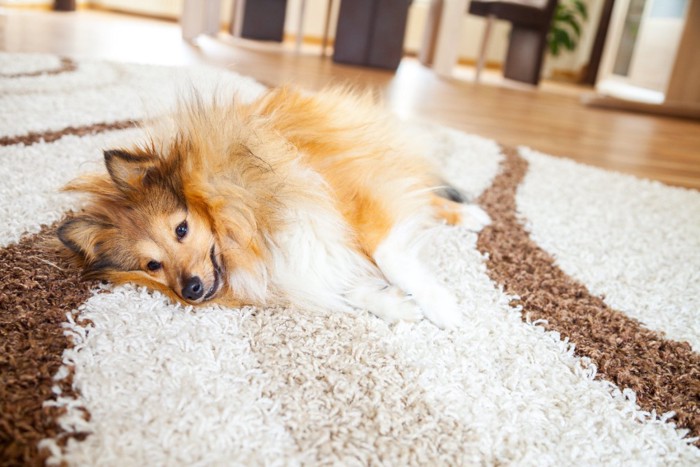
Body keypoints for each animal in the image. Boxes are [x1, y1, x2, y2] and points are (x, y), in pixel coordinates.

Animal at [57, 88, 490, 330]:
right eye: (152, 265)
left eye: (181, 229)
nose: (191, 290)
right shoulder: (304, 260)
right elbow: (345, 286)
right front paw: (397, 307)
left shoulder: (352, 192)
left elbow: (390, 256)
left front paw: (442, 308)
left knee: (425, 192)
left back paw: (472, 215)